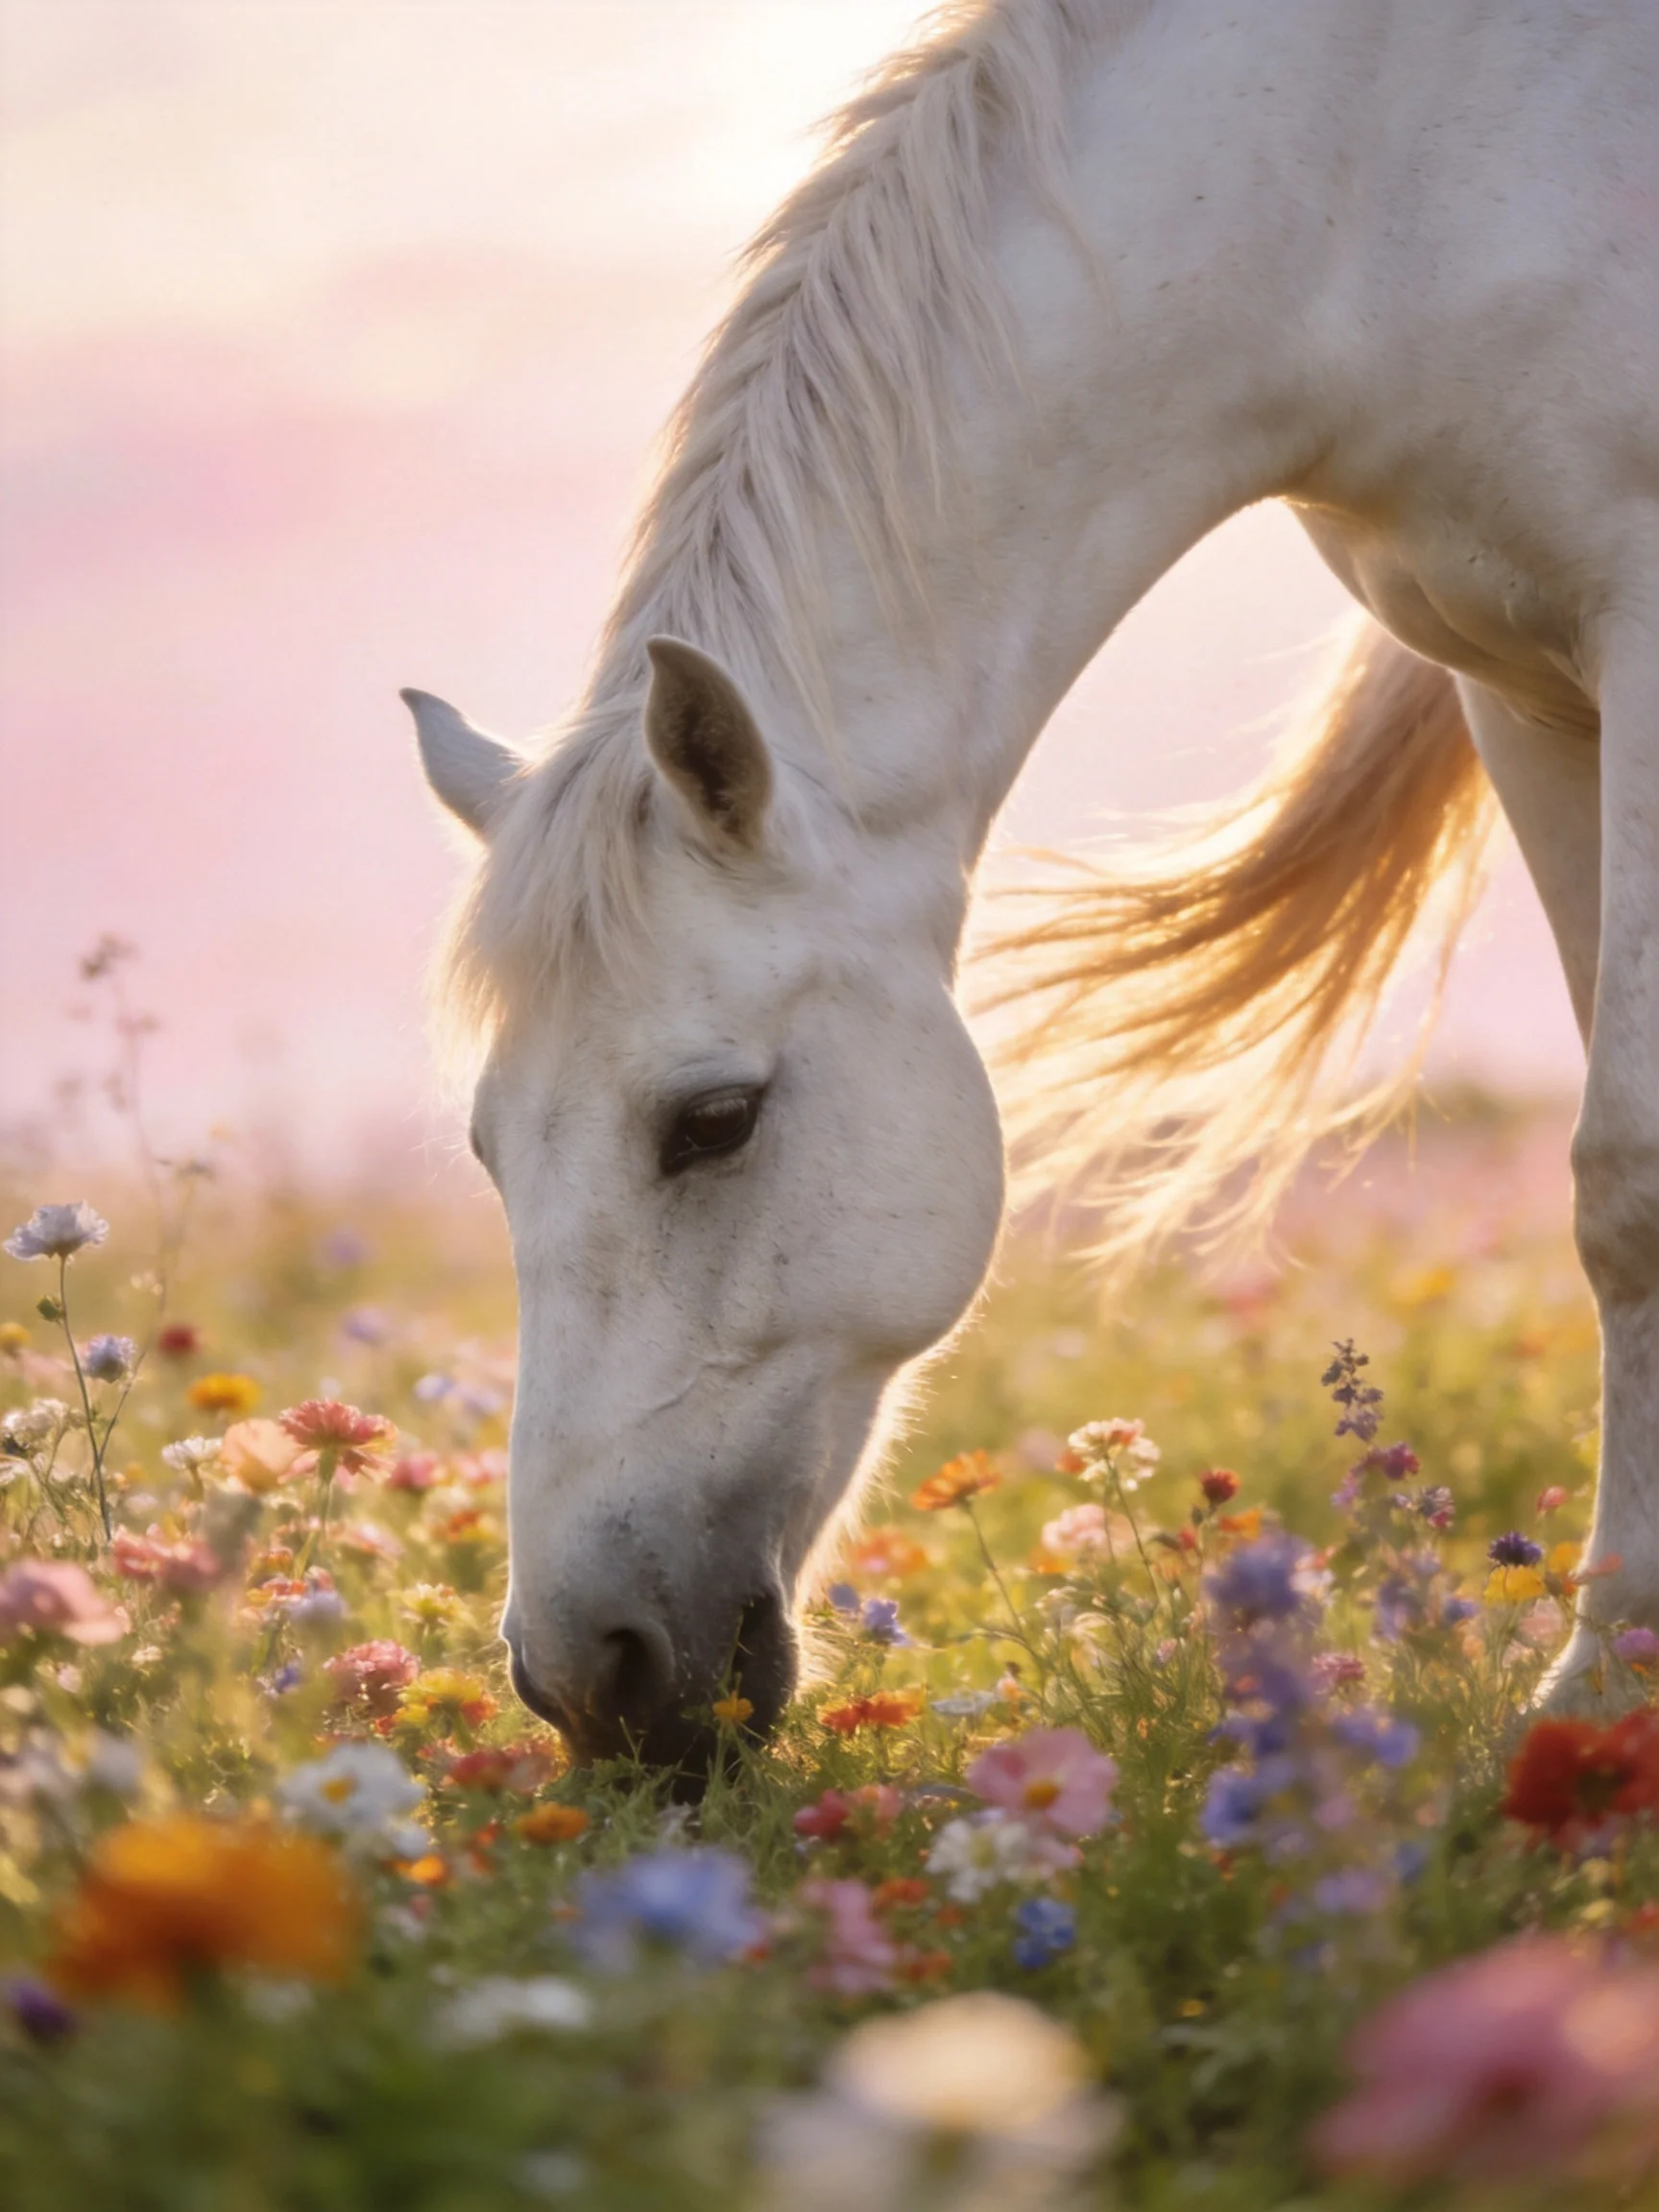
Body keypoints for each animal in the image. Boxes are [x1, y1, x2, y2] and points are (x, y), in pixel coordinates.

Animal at [404, 0, 1658, 1772]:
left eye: (711, 1121)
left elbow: (1628, 1179)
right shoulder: (1526, 687)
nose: (589, 1677)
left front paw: (1603, 1687)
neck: (1370, 179)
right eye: (486, 1149)